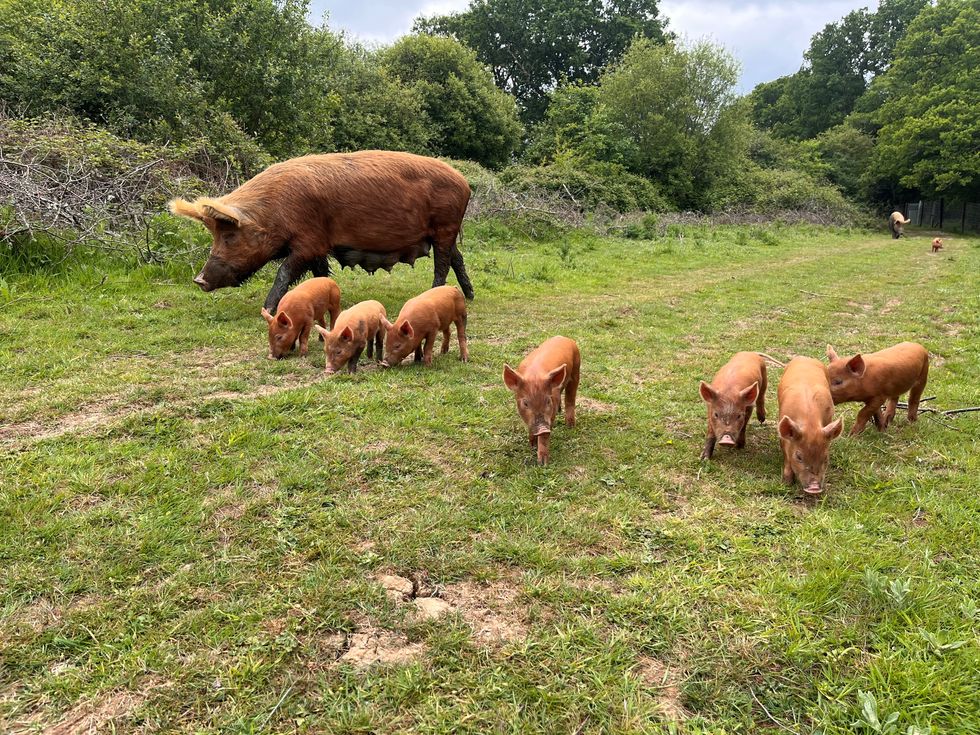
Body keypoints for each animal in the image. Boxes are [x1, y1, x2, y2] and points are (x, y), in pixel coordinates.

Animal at [169, 151, 474, 313]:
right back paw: (469, 296)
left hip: (444, 227)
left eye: (229, 236)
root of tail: (465, 183)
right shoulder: (319, 245)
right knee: (457, 259)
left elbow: (285, 272)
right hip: (445, 231)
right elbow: (319, 274)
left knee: (442, 263)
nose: (199, 280)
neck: (275, 212)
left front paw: (267, 310)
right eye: (215, 235)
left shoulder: (309, 242)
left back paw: (432, 294)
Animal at [503, 336, 581, 466]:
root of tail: (564, 338)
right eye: (525, 403)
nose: (543, 427)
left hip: (576, 370)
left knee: (570, 398)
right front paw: (532, 445)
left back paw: (570, 426)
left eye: (548, 401)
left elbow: (545, 436)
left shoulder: (550, 414)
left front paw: (542, 463)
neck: (535, 375)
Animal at [777, 357, 844, 496]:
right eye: (799, 457)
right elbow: (786, 456)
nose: (814, 488)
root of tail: (804, 357)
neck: (810, 424)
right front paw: (786, 483)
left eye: (825, 457)